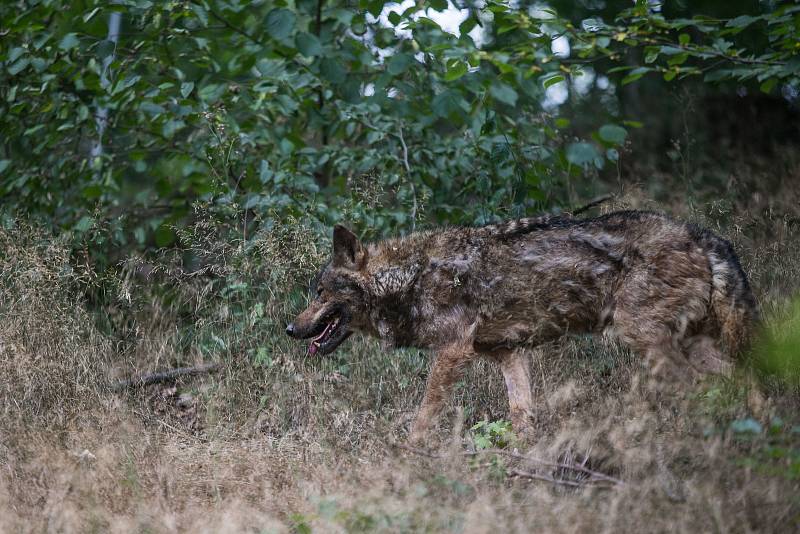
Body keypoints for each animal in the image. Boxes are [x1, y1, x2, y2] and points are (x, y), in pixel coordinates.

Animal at [286, 211, 756, 446]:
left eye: (320, 292)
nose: (290, 329)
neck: (410, 277)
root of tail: (702, 234)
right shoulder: (509, 355)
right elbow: (521, 415)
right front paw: (526, 462)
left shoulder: (452, 352)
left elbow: (425, 413)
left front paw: (406, 455)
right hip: (691, 345)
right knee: (744, 380)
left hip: (644, 341)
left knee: (706, 387)